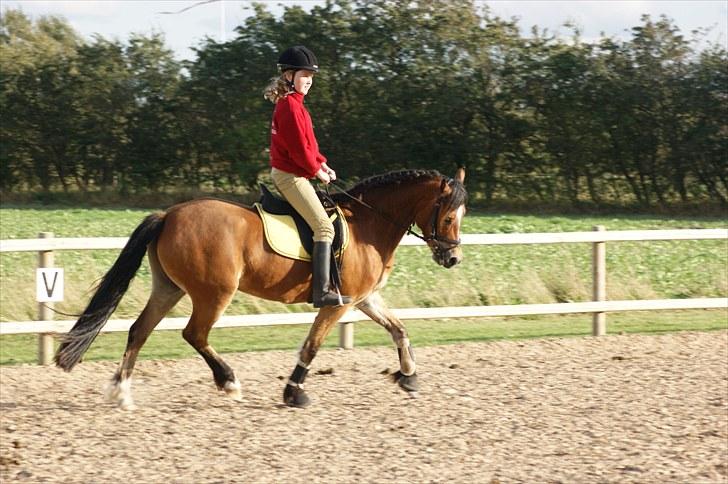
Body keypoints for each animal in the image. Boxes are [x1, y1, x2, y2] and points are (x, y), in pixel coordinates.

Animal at [55, 168, 468, 409]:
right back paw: (228, 382)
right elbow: (312, 345)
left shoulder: (362, 299)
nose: (453, 259)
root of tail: (169, 214)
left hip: (169, 288)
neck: (368, 223)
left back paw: (121, 392)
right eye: (449, 216)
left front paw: (409, 376)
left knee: (139, 331)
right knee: (194, 334)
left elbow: (399, 329)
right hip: (213, 293)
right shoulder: (335, 304)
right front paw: (294, 392)